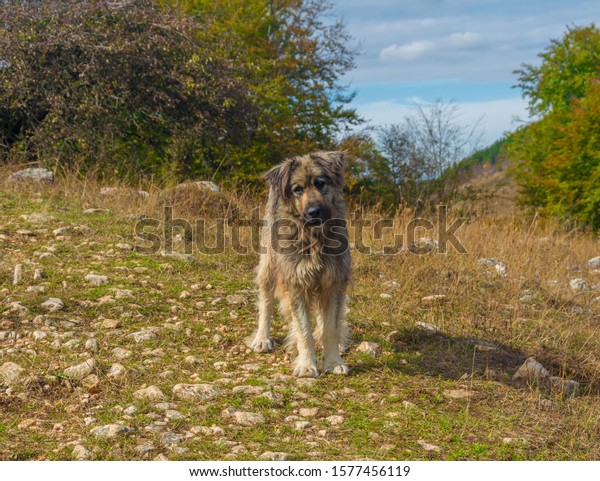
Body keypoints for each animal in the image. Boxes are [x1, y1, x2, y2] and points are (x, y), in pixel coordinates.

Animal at [250, 150, 352, 376]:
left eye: (321, 183)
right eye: (298, 189)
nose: (314, 211)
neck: (314, 239)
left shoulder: (333, 282)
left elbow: (330, 327)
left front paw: (333, 361)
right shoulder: (295, 283)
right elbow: (303, 329)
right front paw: (306, 364)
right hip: (269, 265)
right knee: (266, 302)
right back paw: (262, 338)